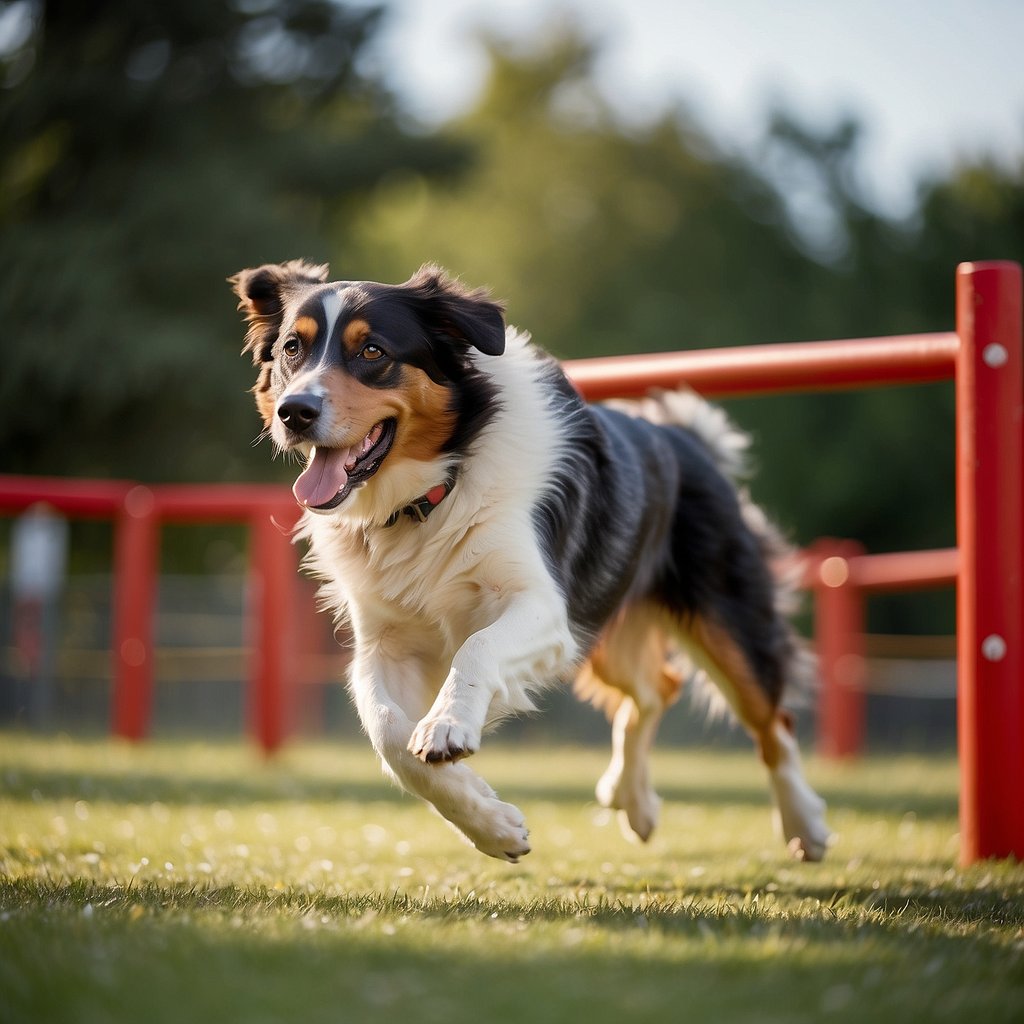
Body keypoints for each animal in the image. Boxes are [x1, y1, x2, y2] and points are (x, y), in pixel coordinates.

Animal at [232, 262, 831, 864]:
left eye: (373, 351)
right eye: (292, 348)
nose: (295, 412)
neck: (434, 491)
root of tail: (684, 437)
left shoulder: (542, 605)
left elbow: (475, 650)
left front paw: (447, 726)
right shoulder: (386, 641)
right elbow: (387, 734)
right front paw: (492, 826)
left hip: (721, 624)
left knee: (772, 722)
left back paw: (804, 826)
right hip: (603, 635)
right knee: (656, 689)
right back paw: (632, 800)